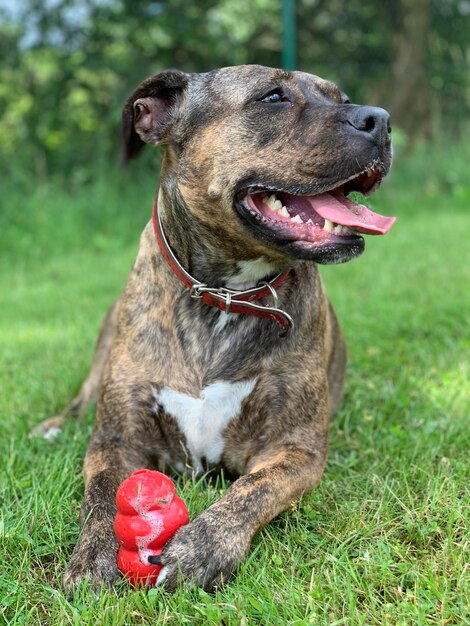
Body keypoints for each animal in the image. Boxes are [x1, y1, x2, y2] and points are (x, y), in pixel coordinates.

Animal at [34, 63, 392, 588]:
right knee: (80, 402)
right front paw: (93, 557)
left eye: (340, 97)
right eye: (272, 97)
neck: (223, 297)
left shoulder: (294, 449)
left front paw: (201, 547)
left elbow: (253, 489)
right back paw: (53, 426)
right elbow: (99, 497)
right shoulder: (115, 441)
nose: (381, 120)